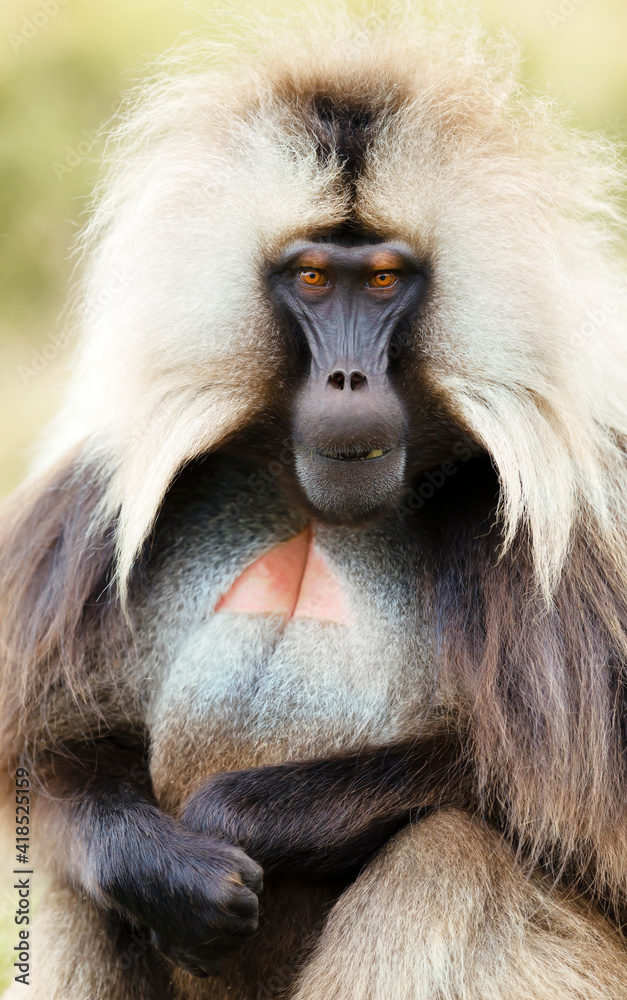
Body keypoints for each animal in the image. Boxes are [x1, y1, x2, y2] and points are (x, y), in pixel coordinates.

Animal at [2, 9, 627, 999]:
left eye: (381, 280)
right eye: (309, 278)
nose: (345, 379)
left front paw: (234, 819)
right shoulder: (91, 507)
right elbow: (43, 759)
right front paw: (169, 871)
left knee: (452, 852)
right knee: (65, 885)